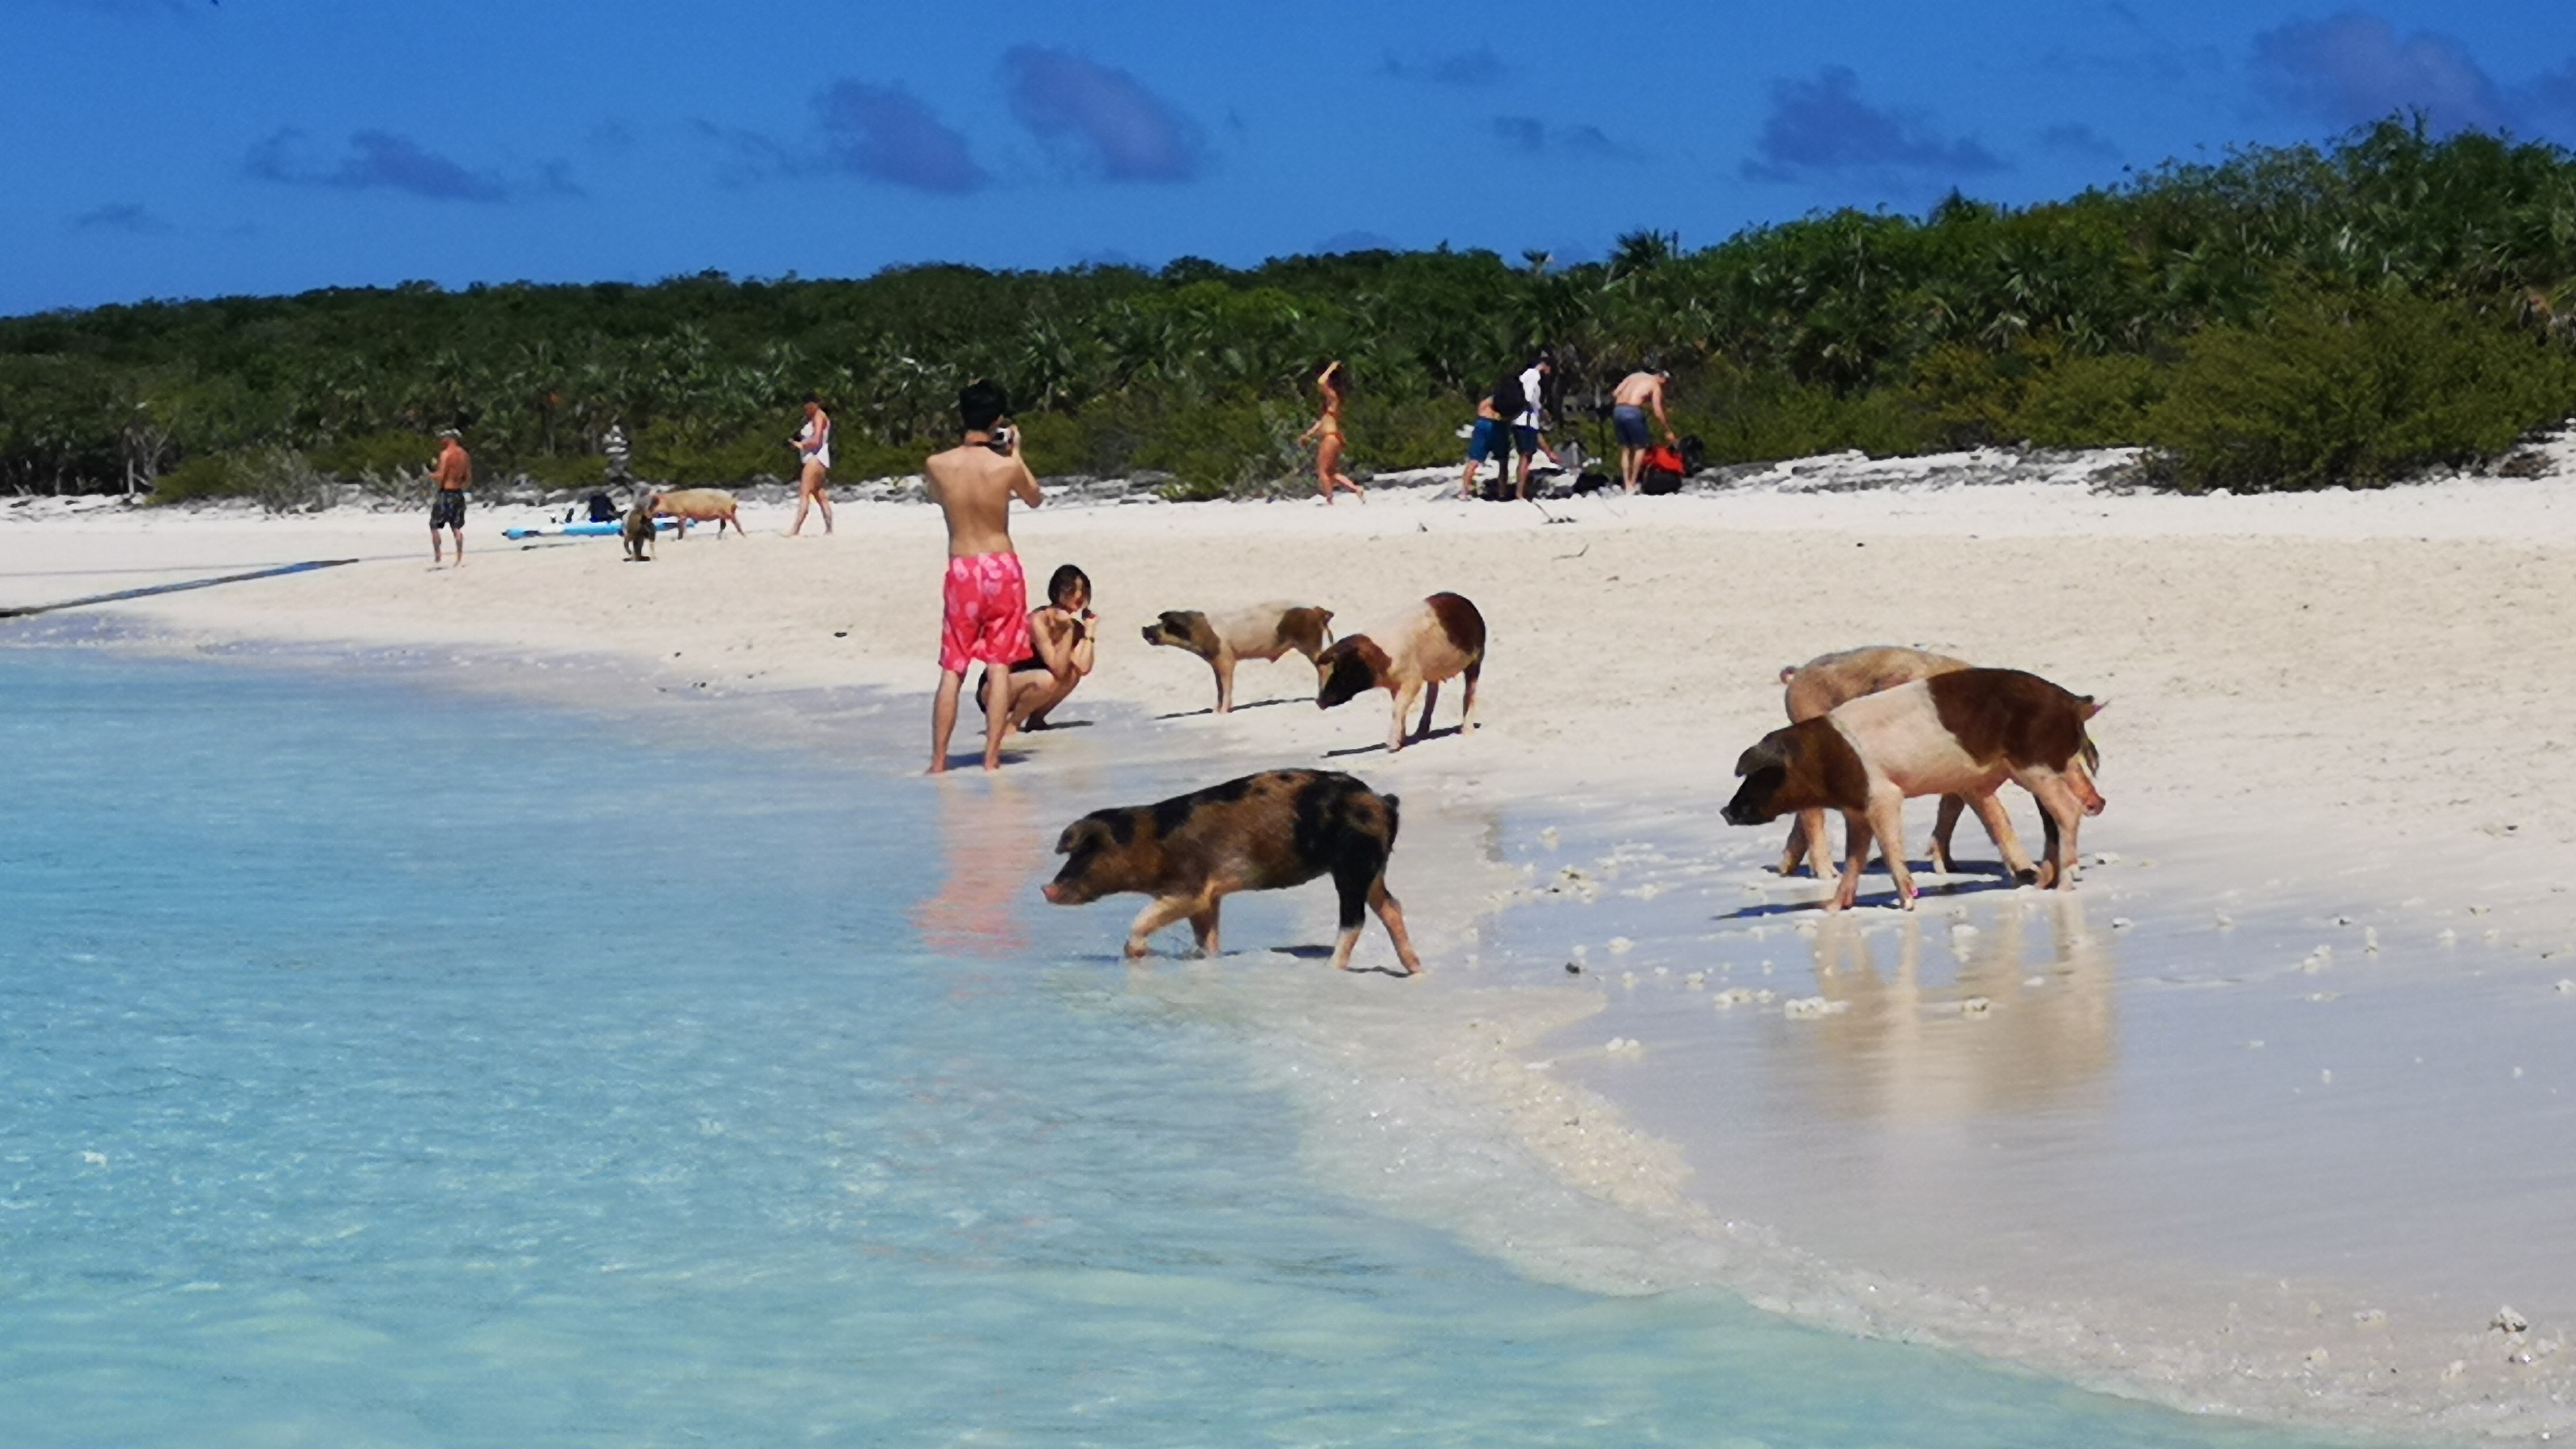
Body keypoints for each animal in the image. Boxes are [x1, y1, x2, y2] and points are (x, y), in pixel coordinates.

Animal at [1035, 768, 1422, 969]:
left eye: (1081, 855)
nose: (1046, 889)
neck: (1149, 842)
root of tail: (1384, 802)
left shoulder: (1190, 887)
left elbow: (1144, 918)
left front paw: (1136, 954)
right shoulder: (1210, 896)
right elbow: (1207, 934)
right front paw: (1209, 958)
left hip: (1353, 863)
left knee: (1355, 919)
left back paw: (1331, 968)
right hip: (1373, 867)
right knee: (1391, 905)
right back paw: (1414, 969)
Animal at [1149, 597, 1350, 711]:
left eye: (1165, 626)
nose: (1145, 629)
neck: (1198, 633)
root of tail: (1317, 611)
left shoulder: (1226, 658)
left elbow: (1226, 685)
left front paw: (1222, 712)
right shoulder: (1215, 662)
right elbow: (1219, 687)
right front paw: (1214, 710)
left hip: (1310, 643)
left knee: (1324, 667)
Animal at [1319, 590, 1483, 748]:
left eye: (1342, 670)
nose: (1319, 702)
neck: (1380, 660)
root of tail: (1467, 603)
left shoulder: (1413, 679)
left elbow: (1397, 709)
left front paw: (1391, 747)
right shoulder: (1395, 684)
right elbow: (1400, 708)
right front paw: (1403, 741)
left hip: (1477, 658)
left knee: (1469, 692)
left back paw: (1467, 732)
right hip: (1433, 672)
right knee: (1432, 693)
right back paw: (1419, 734)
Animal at [1721, 665, 2102, 907]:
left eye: (1761, 774)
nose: (1725, 810)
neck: (1826, 759)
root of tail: (2071, 702)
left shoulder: (1884, 795)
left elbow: (1890, 848)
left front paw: (1906, 903)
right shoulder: (1857, 811)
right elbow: (1855, 858)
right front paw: (1832, 908)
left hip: (2037, 766)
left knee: (2068, 812)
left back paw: (2063, 886)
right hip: (2048, 768)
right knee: (2057, 818)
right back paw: (2039, 883)